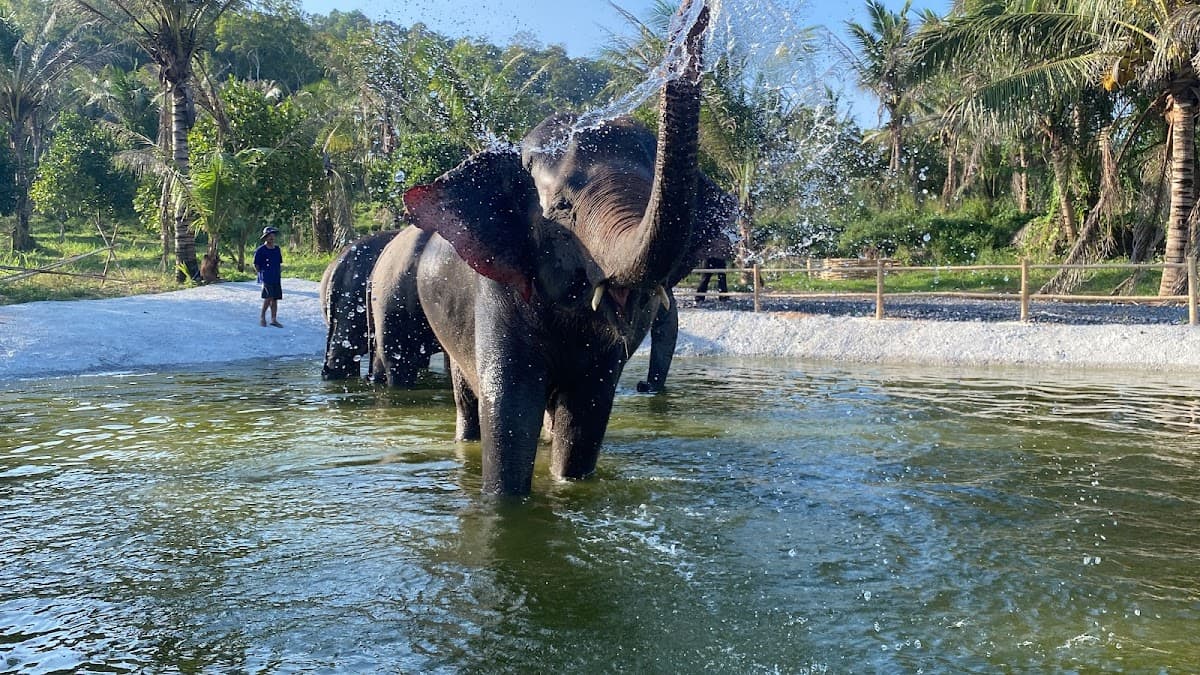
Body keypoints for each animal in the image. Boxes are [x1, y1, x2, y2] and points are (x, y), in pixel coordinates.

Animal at [400, 1, 712, 495]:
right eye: (563, 209)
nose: (695, 12)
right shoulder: (498, 292)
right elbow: (509, 410)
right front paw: (505, 501)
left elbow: (585, 417)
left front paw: (568, 487)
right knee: (465, 396)